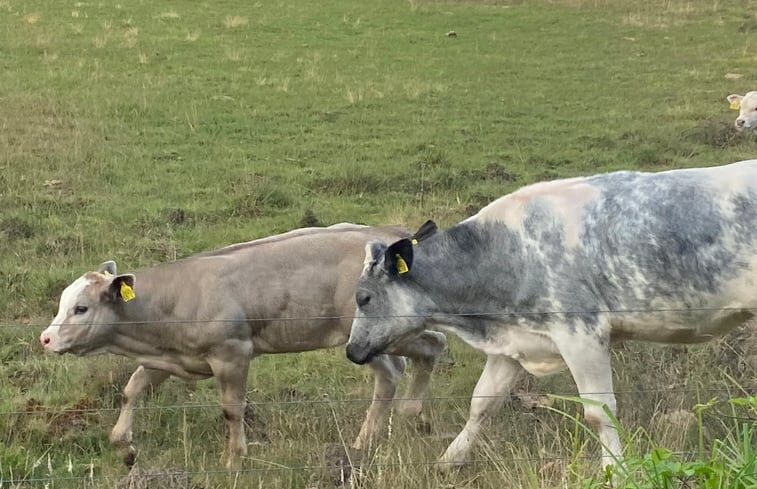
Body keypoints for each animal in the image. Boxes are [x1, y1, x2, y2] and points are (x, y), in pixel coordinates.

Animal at [39, 223, 442, 468]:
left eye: (80, 308)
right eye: (62, 303)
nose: (46, 337)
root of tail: (390, 235)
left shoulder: (231, 354)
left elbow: (232, 410)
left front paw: (234, 459)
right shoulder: (165, 358)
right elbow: (131, 389)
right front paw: (124, 444)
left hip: (363, 335)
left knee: (423, 353)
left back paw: (387, 426)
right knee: (408, 362)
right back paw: (386, 428)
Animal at [346, 160, 756, 468]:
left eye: (363, 298)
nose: (351, 351)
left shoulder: (581, 334)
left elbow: (599, 411)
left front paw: (615, 471)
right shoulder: (513, 344)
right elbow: (482, 403)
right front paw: (450, 460)